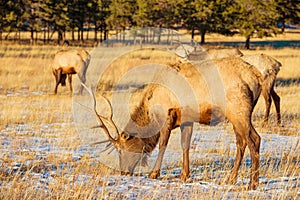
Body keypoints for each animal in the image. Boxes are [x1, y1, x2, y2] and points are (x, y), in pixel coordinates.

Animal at [84, 52, 262, 189]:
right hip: (238, 114)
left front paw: (154, 173)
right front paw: (184, 175)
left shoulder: (166, 114)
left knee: (254, 139)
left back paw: (250, 183)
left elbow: (163, 144)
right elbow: (185, 145)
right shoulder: (186, 119)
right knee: (242, 142)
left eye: (121, 149)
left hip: (238, 109)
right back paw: (235, 179)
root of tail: (256, 77)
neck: (149, 105)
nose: (124, 172)